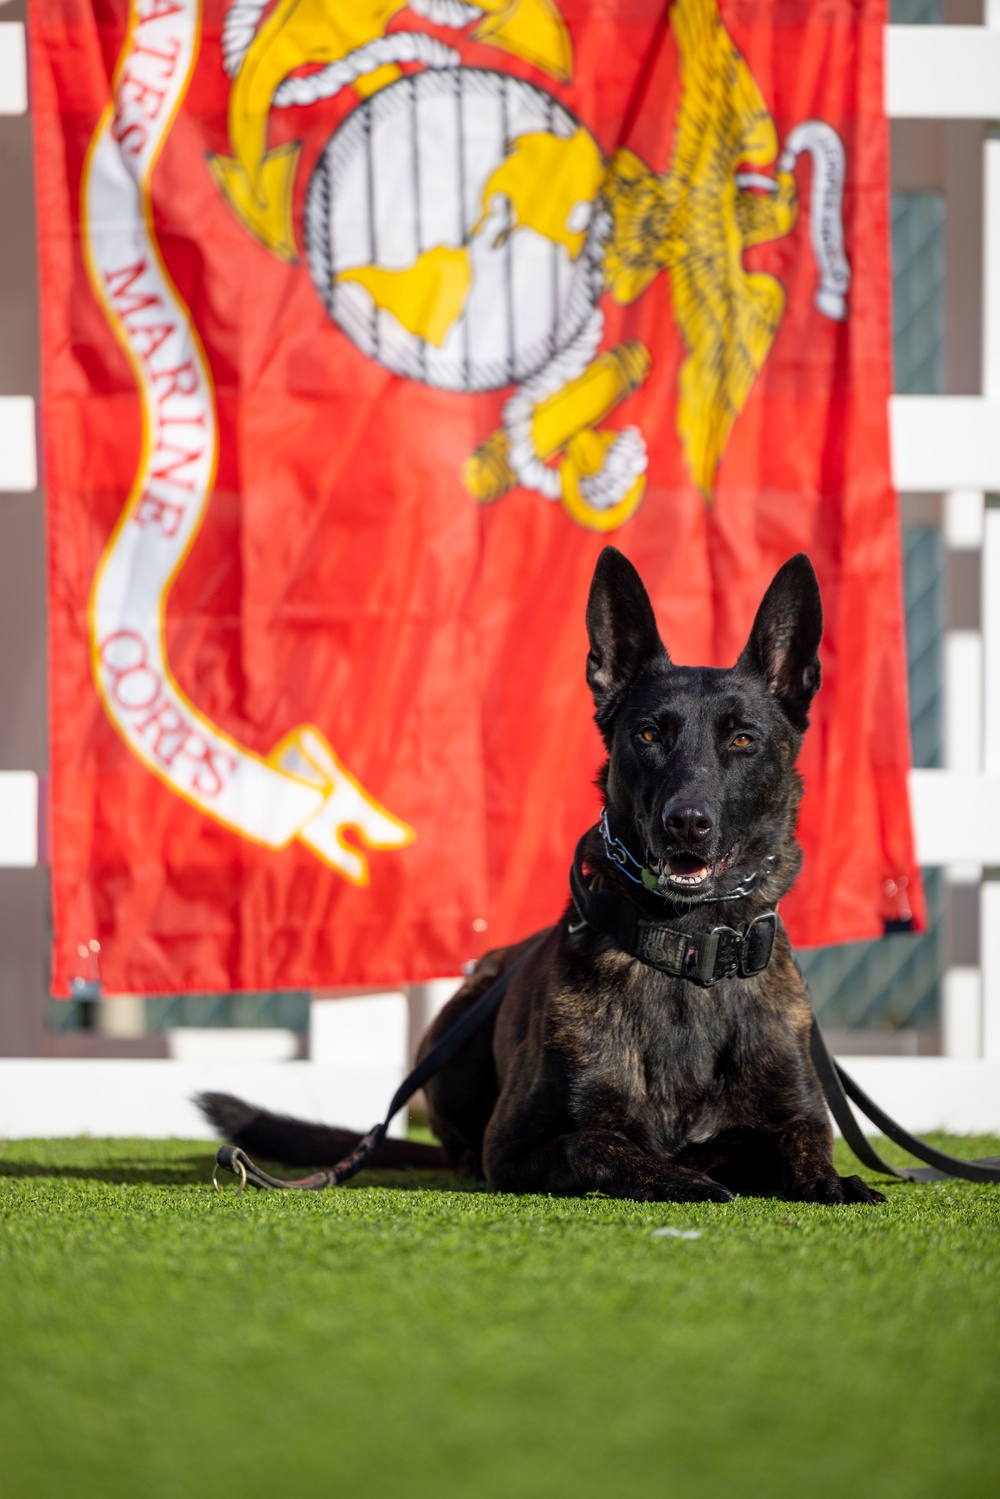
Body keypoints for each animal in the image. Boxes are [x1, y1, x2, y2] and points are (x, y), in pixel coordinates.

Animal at [203, 551, 881, 1205]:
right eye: (649, 734)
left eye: (743, 739)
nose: (687, 823)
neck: (689, 952)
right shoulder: (514, 1147)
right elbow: (596, 1144)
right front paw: (679, 1178)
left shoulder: (795, 1115)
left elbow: (802, 1142)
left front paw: (833, 1180)